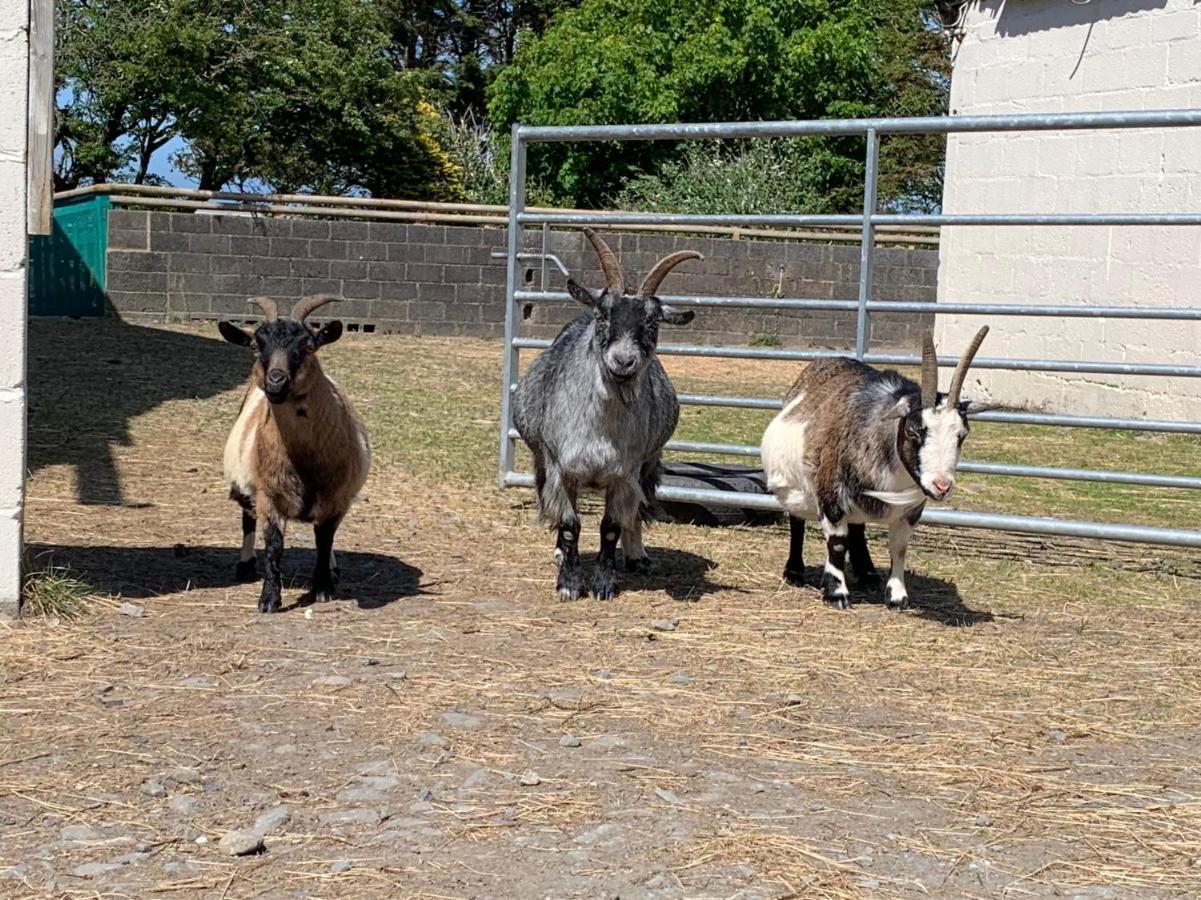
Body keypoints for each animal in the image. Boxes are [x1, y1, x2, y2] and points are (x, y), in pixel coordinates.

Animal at [219, 294, 369, 610]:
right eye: (255, 346)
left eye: (309, 346)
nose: (276, 381)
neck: (304, 464)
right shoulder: (268, 495)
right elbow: (274, 545)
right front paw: (269, 599)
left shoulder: (337, 498)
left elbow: (324, 539)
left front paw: (323, 586)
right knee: (247, 518)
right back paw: (245, 564)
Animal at [511, 228, 701, 600]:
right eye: (603, 315)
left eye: (652, 322)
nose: (623, 361)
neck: (599, 431)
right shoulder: (560, 469)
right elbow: (570, 526)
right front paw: (569, 584)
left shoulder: (625, 473)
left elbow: (611, 526)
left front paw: (604, 583)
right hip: (542, 463)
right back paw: (559, 555)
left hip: (649, 463)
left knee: (636, 512)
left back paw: (637, 555)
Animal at [763, 329, 989, 610]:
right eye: (914, 431)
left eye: (962, 434)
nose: (941, 485)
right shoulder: (830, 495)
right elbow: (837, 544)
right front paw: (836, 593)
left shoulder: (912, 508)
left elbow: (899, 546)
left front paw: (897, 596)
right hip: (795, 484)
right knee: (797, 520)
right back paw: (794, 572)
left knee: (857, 526)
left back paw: (867, 572)